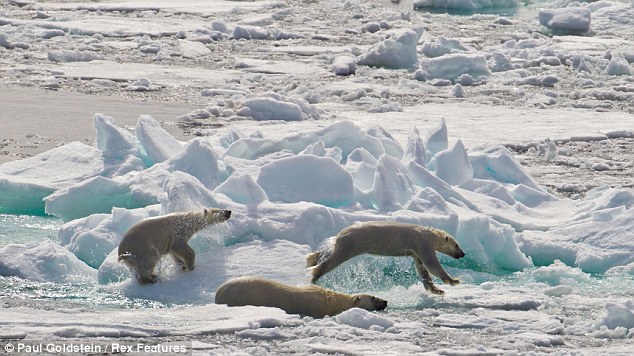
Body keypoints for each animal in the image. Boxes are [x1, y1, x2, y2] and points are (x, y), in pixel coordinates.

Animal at [306, 222, 464, 294]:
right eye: (457, 245)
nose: (463, 254)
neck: (430, 234)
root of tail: (339, 234)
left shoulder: (416, 251)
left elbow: (422, 269)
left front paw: (436, 290)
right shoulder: (423, 244)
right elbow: (432, 264)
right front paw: (454, 280)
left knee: (327, 253)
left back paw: (311, 259)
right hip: (352, 243)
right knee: (335, 259)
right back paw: (314, 275)